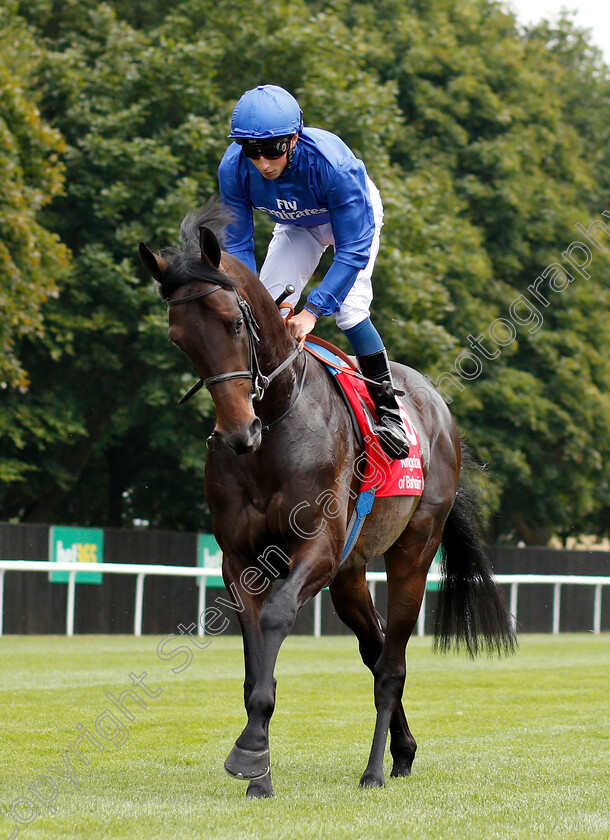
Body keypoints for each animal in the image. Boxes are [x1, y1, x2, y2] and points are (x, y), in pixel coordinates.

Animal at [139, 200, 512, 796]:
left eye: (234, 322)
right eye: (180, 338)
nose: (238, 432)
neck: (277, 421)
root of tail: (437, 406)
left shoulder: (315, 546)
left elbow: (276, 619)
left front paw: (250, 752)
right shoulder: (240, 558)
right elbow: (254, 660)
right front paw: (259, 772)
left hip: (413, 549)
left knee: (392, 664)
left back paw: (376, 770)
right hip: (350, 572)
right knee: (375, 647)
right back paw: (403, 751)